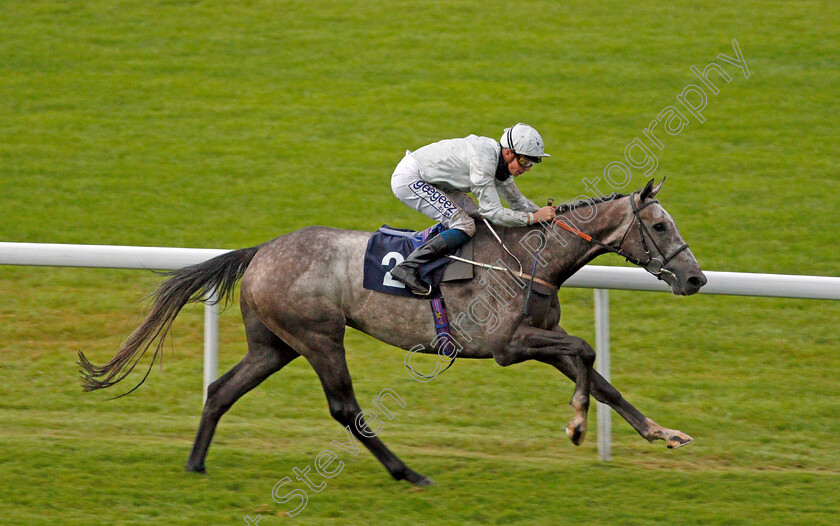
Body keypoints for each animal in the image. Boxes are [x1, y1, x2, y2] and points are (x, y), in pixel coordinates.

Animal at [80, 180, 708, 486]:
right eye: (659, 226)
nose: (697, 277)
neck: (532, 257)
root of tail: (261, 251)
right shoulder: (506, 347)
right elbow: (586, 352)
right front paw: (576, 425)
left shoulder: (538, 339)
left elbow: (600, 378)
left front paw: (663, 433)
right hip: (319, 338)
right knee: (345, 409)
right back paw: (408, 472)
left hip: (275, 345)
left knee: (221, 390)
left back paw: (195, 464)